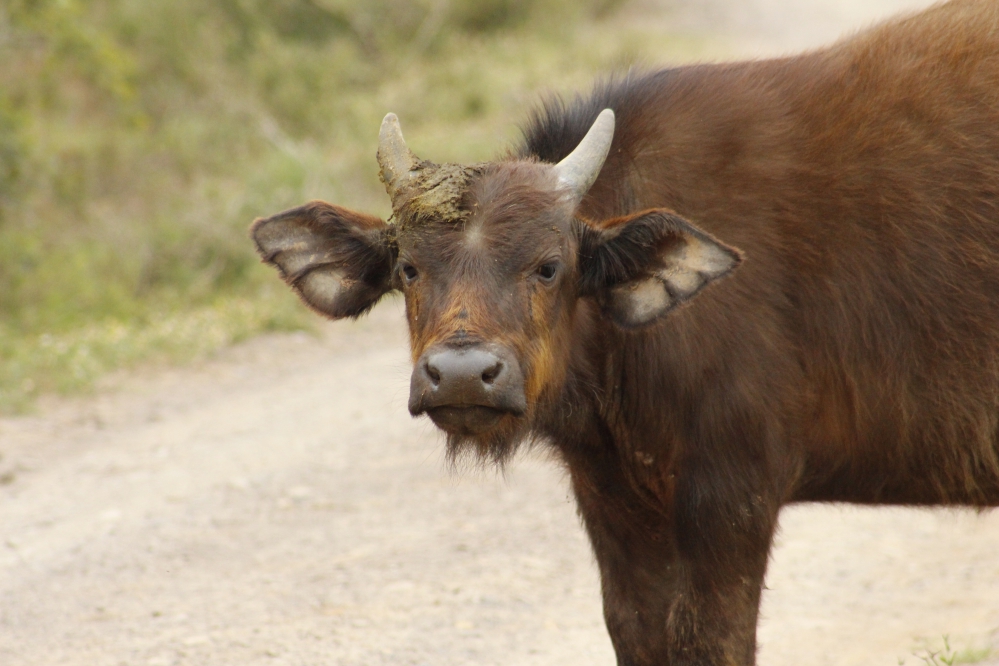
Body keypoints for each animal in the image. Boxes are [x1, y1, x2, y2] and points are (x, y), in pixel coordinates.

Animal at [248, 2, 999, 660]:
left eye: (549, 265)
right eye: (408, 267)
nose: (461, 375)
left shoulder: (732, 493)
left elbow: (708, 640)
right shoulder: (611, 494)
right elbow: (635, 631)